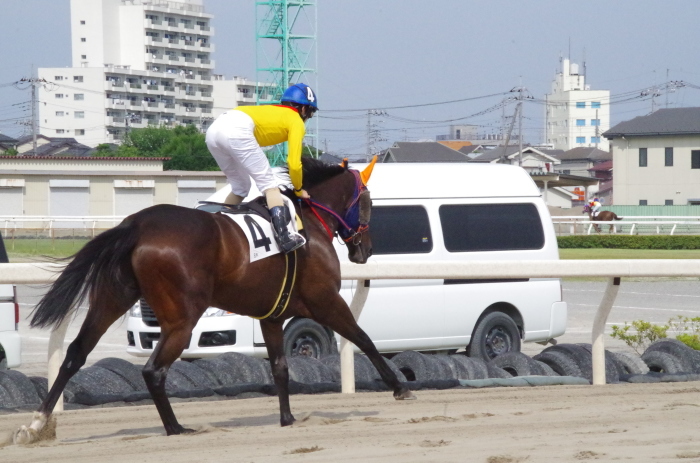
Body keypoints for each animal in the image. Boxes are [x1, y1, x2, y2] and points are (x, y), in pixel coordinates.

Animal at [13, 157, 412, 446]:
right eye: (368, 202)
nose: (365, 250)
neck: (308, 223)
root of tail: (136, 225)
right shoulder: (325, 301)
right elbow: (363, 339)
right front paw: (399, 387)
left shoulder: (270, 315)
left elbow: (280, 367)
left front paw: (287, 418)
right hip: (182, 319)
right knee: (153, 370)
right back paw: (175, 428)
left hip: (111, 299)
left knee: (75, 353)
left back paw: (36, 425)